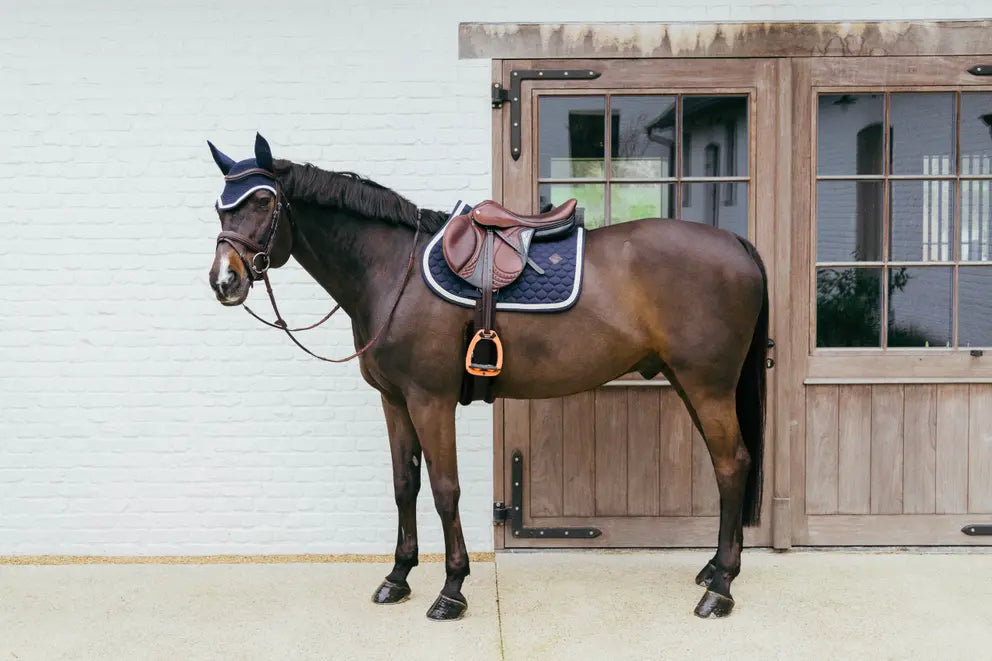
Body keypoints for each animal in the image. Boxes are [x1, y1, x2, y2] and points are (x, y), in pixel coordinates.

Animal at [205, 134, 772, 620]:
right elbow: (405, 484)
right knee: (725, 466)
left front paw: (451, 589)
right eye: (220, 206)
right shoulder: (394, 400)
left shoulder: (430, 399)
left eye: (263, 202)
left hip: (708, 386)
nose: (224, 281)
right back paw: (712, 572)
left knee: (732, 465)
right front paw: (398, 576)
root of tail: (738, 243)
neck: (393, 272)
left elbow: (445, 488)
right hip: (688, 382)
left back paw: (721, 588)